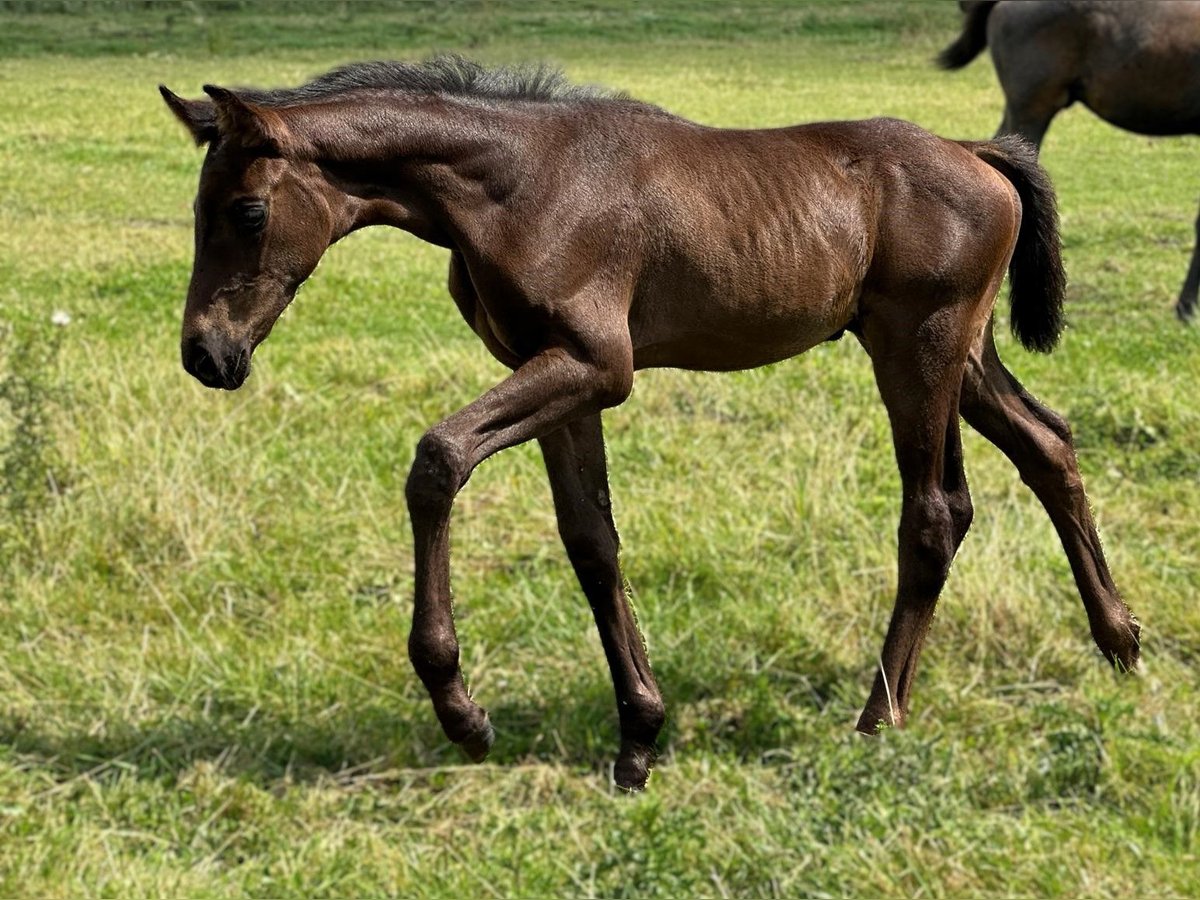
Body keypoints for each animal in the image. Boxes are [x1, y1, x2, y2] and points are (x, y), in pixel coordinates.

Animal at [162, 56, 1142, 792]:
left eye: (247, 211)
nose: (206, 355)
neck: (519, 184)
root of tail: (977, 152)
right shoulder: (561, 379)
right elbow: (590, 542)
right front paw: (638, 738)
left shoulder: (594, 366)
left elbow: (437, 459)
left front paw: (463, 712)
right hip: (958, 354)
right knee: (1048, 447)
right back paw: (1122, 644)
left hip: (920, 348)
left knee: (935, 512)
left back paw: (879, 718)